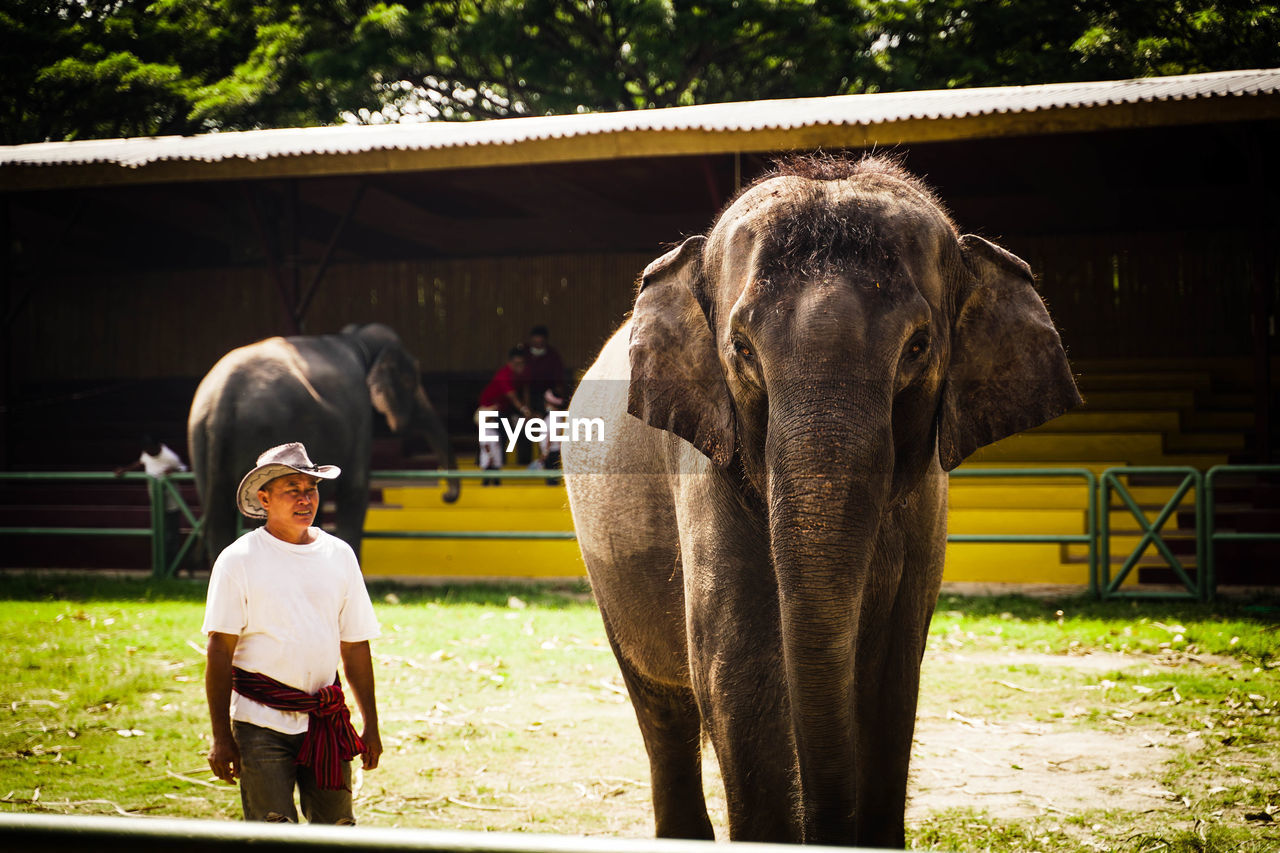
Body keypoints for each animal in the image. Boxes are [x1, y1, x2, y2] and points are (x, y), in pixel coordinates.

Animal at [189, 322, 460, 560]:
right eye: (410, 380)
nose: (446, 496)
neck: (357, 338)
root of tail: (222, 397)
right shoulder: (359, 412)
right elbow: (356, 489)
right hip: (262, 428)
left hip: (199, 437)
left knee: (218, 518)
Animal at [563, 154, 1080, 845]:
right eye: (742, 350)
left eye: (918, 347)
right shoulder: (705, 465)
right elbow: (737, 669)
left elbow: (891, 673)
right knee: (661, 701)